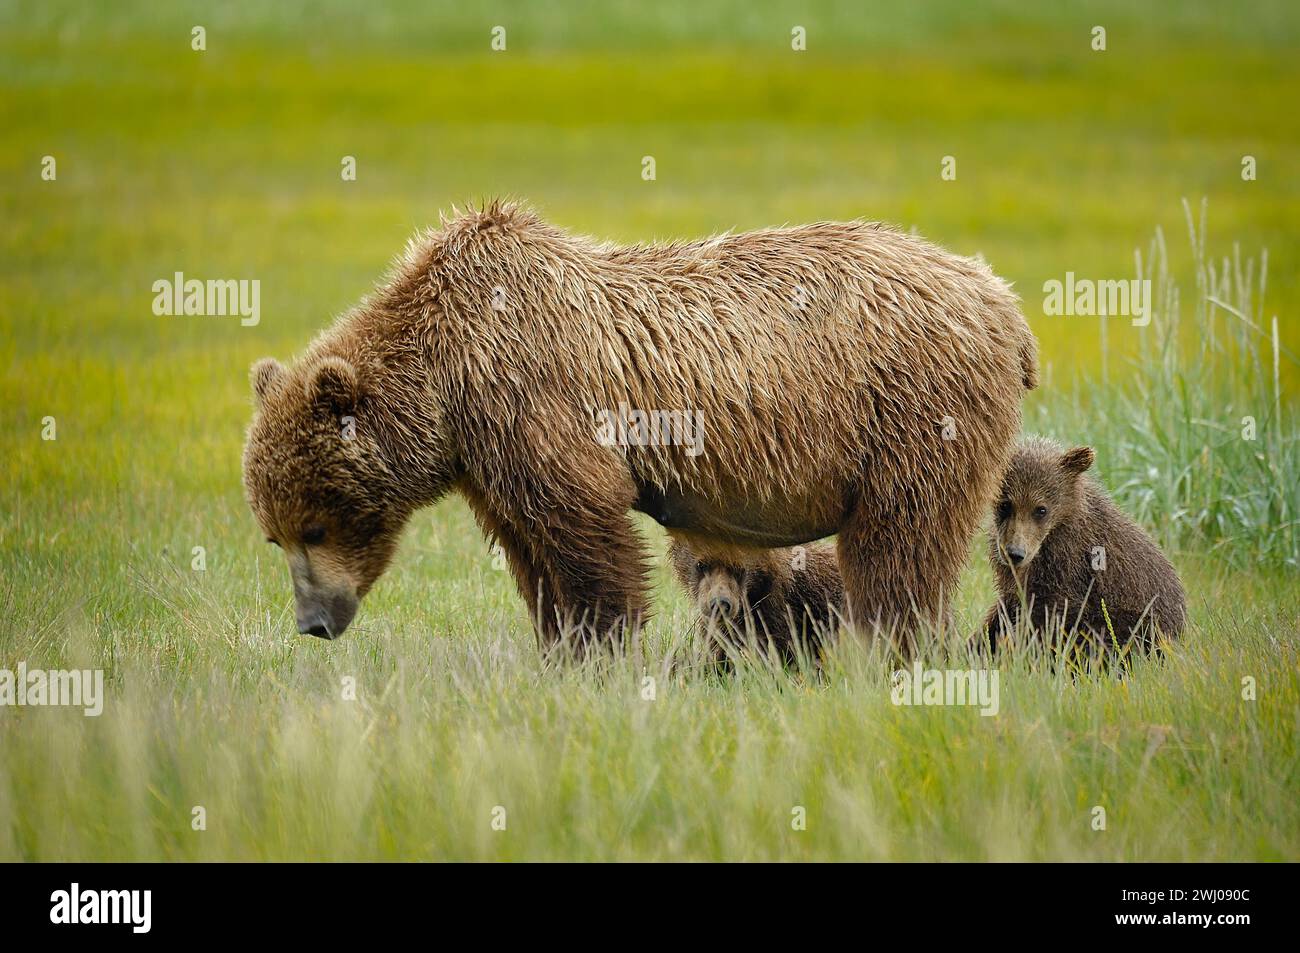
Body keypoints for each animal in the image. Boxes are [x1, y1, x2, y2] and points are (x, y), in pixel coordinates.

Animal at [242, 201, 1037, 651]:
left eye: (315, 524)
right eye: (275, 534)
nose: (313, 623)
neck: (449, 382)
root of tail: (1001, 297)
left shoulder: (536, 398)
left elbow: (589, 533)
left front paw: (605, 646)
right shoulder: (490, 459)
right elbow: (531, 552)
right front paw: (559, 647)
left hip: (911, 412)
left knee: (901, 543)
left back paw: (892, 646)